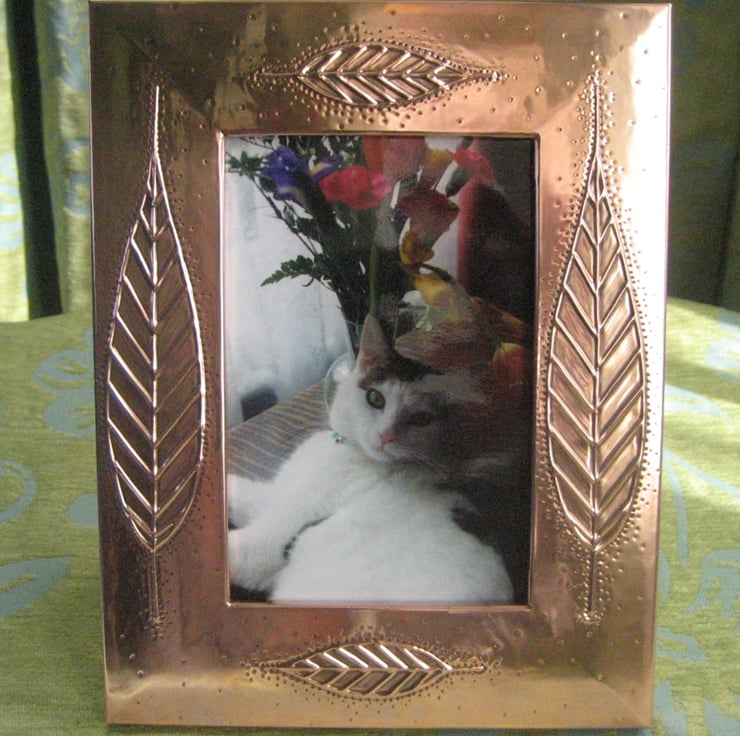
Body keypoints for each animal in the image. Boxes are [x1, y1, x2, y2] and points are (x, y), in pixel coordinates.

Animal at [228, 314, 517, 605]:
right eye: (376, 398)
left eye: (421, 419)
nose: (386, 435)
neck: (351, 454)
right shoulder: (276, 496)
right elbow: (246, 493)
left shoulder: (270, 543)